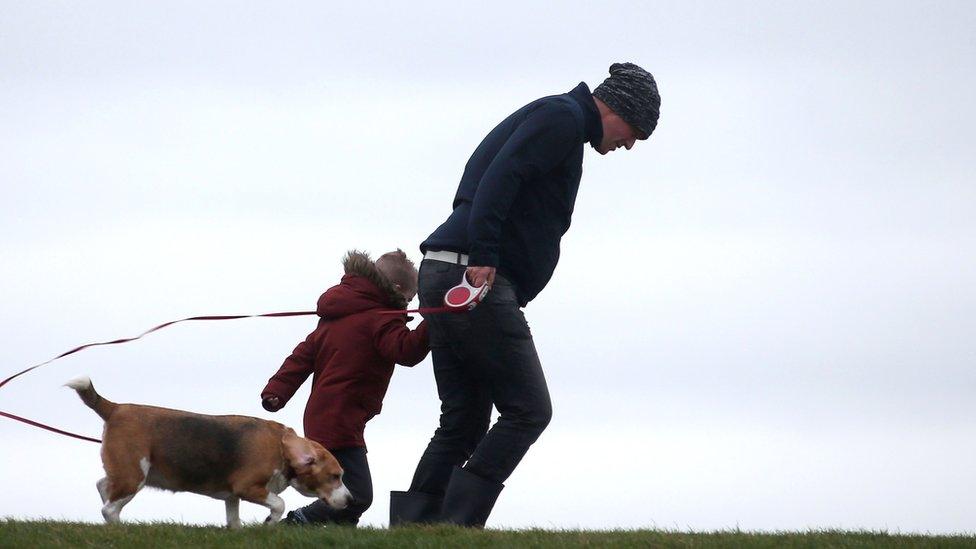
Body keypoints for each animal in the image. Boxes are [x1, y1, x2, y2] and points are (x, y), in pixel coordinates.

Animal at [63, 376, 350, 528]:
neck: (280, 445)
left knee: (103, 487)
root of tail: (116, 408)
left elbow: (234, 520)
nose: (350, 500)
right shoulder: (248, 487)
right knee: (109, 509)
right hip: (133, 476)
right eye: (335, 476)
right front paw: (269, 522)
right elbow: (279, 503)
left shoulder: (232, 496)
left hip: (125, 473)